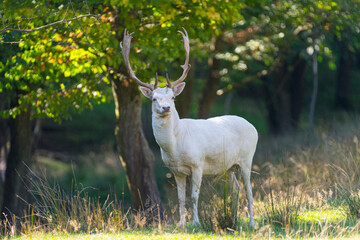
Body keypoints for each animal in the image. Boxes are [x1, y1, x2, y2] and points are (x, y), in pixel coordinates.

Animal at [121, 28, 258, 227]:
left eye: (172, 97)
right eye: (154, 98)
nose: (166, 107)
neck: (176, 146)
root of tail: (253, 127)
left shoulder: (197, 164)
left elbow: (194, 196)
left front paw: (196, 223)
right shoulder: (175, 170)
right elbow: (180, 198)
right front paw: (181, 224)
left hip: (247, 158)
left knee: (249, 190)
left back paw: (251, 223)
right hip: (229, 166)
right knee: (236, 189)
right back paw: (232, 220)